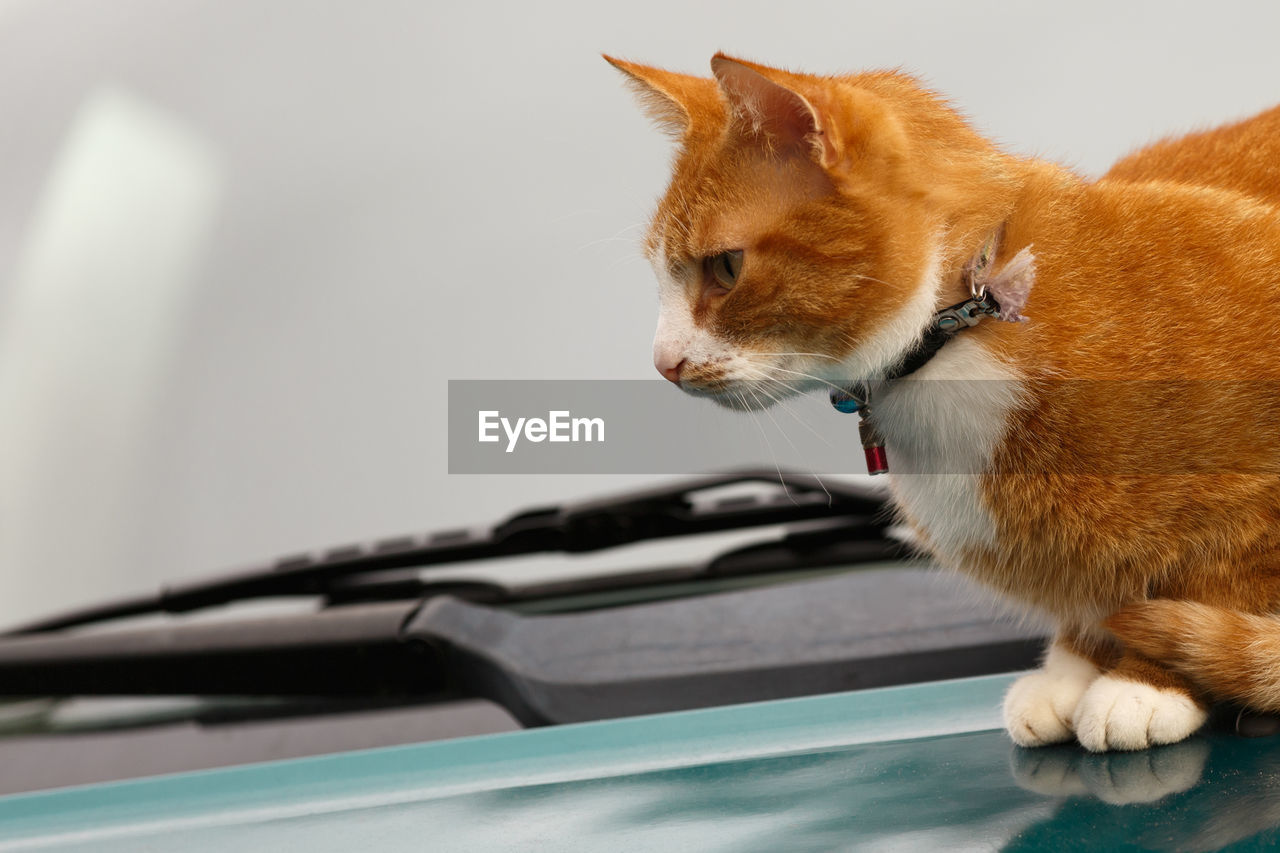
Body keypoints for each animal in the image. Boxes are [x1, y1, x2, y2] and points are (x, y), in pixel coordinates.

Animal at [606, 53, 1280, 747]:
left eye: (726, 267)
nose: (662, 363)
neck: (960, 327)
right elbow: (1095, 594)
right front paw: (1071, 668)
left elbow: (1212, 586)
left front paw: (1143, 682)